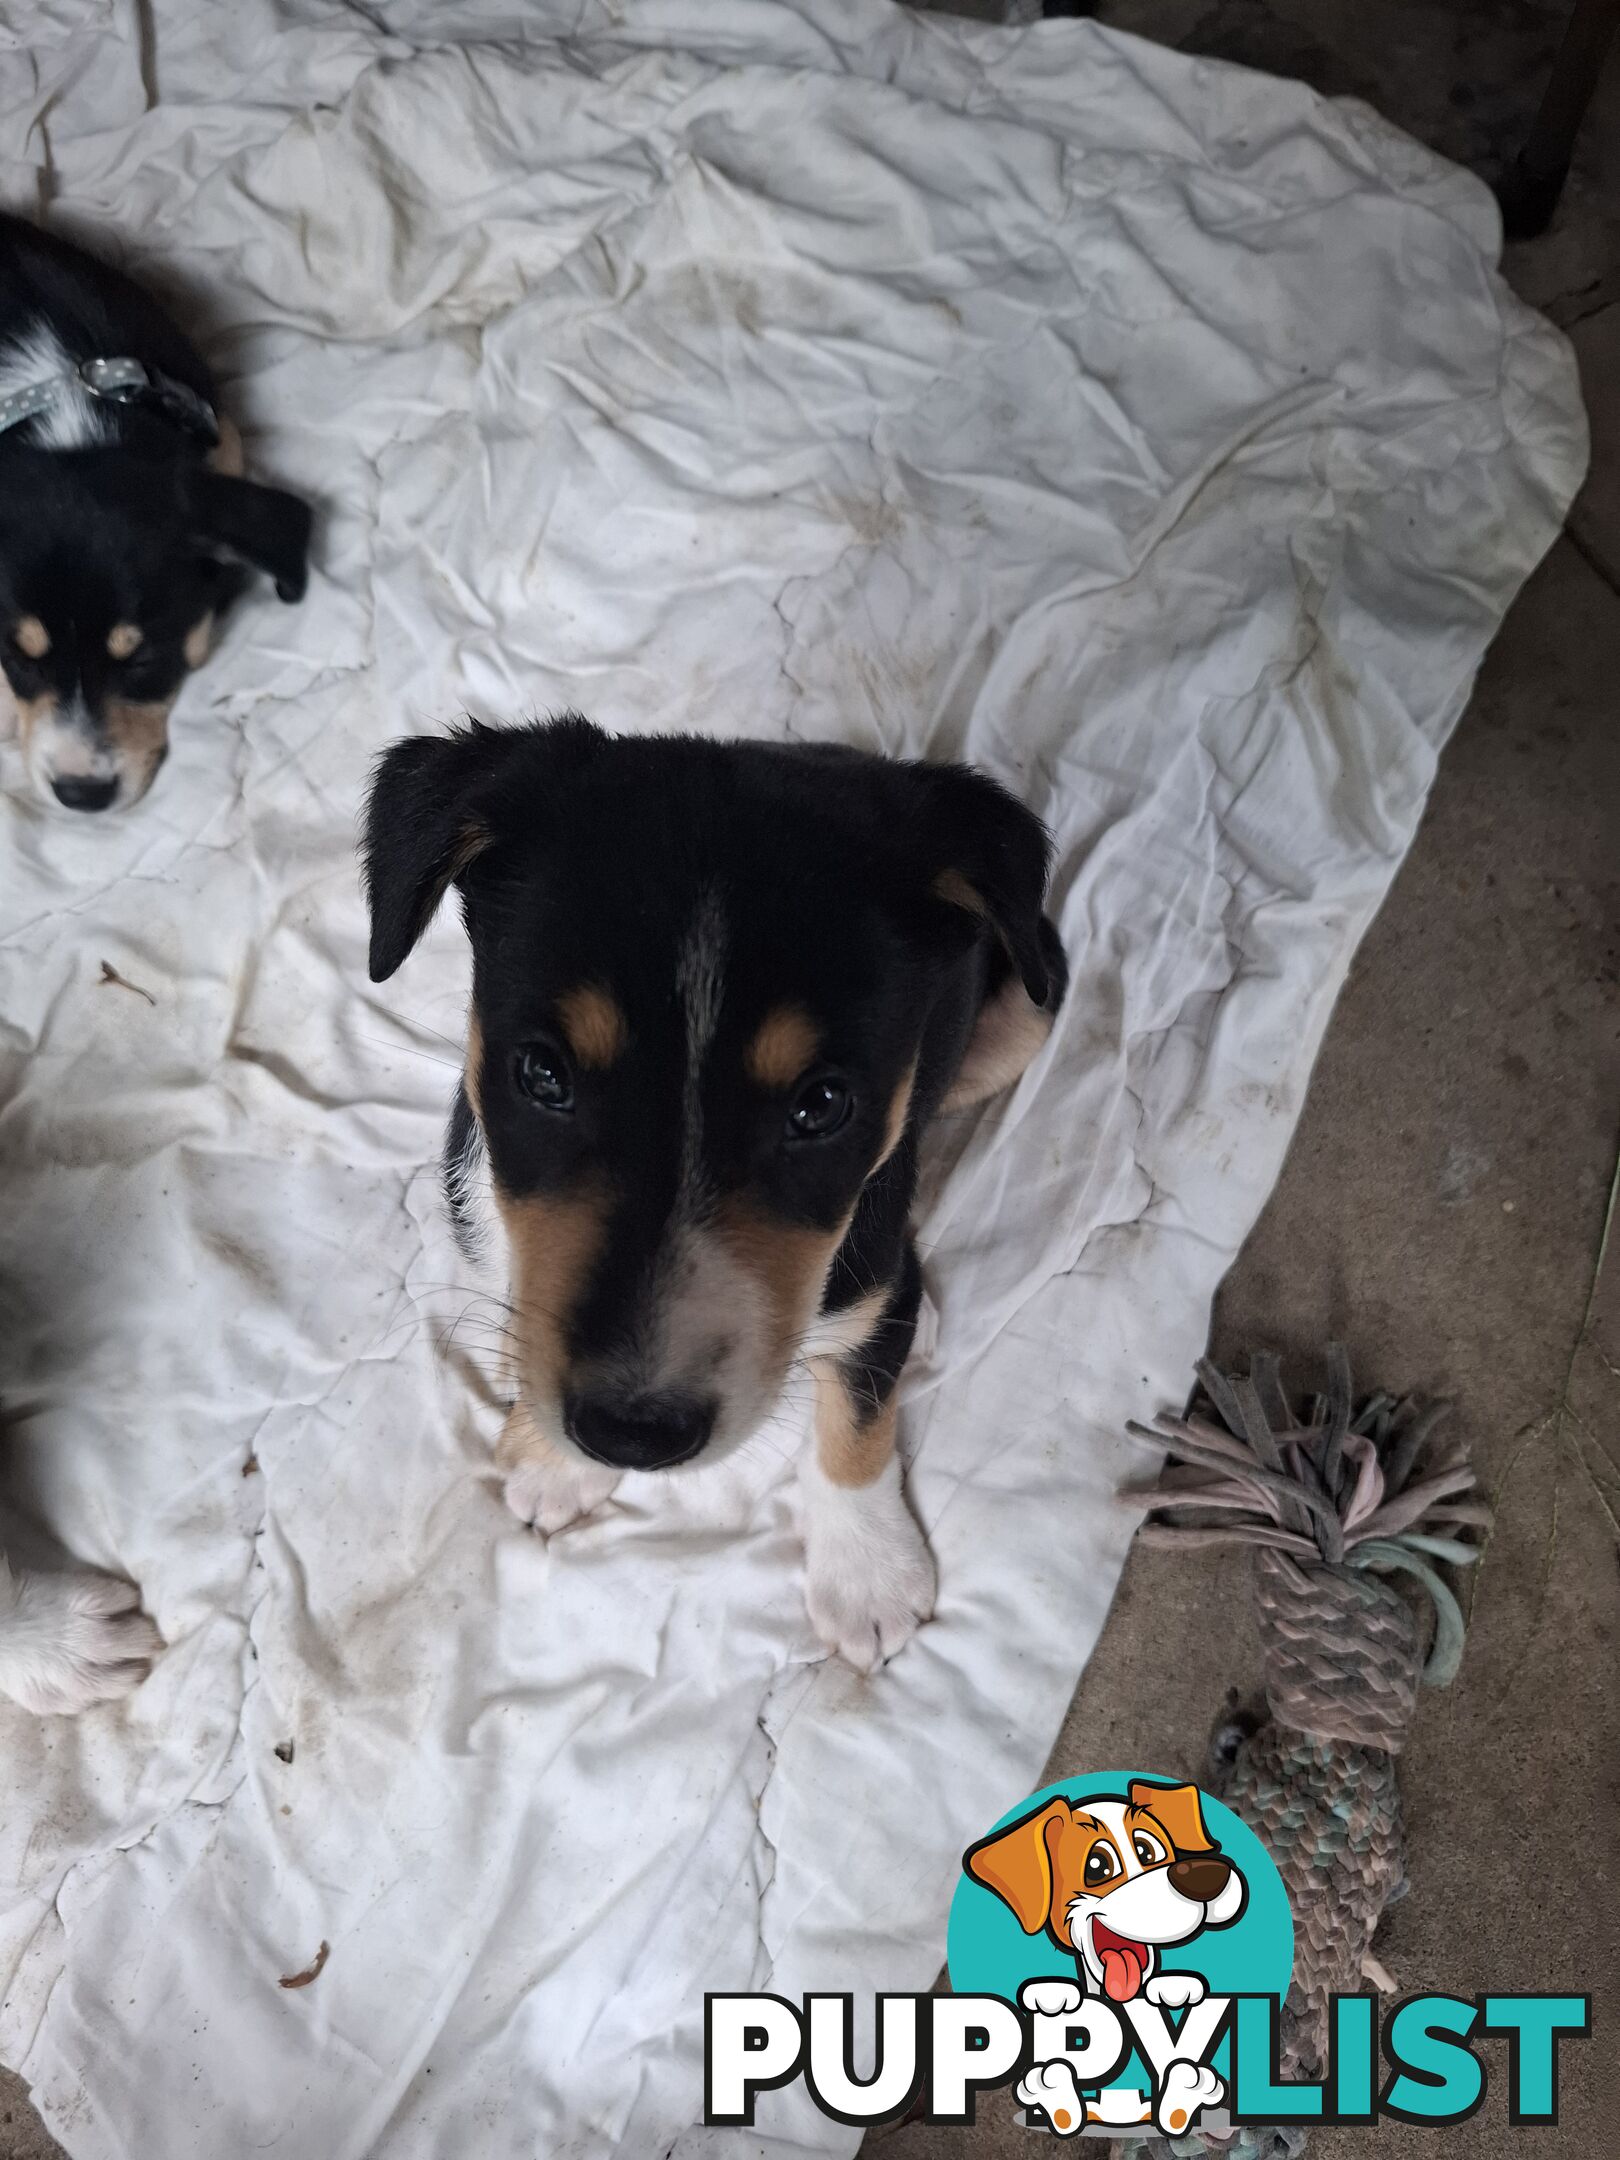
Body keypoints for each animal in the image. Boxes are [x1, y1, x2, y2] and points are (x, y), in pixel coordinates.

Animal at [367, 721, 1067, 1667]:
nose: (633, 1434)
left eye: (822, 1105)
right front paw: (556, 1462)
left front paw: (868, 1576)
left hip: (1031, 1005)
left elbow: (857, 1419)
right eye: (541, 1074)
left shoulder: (876, 1272)